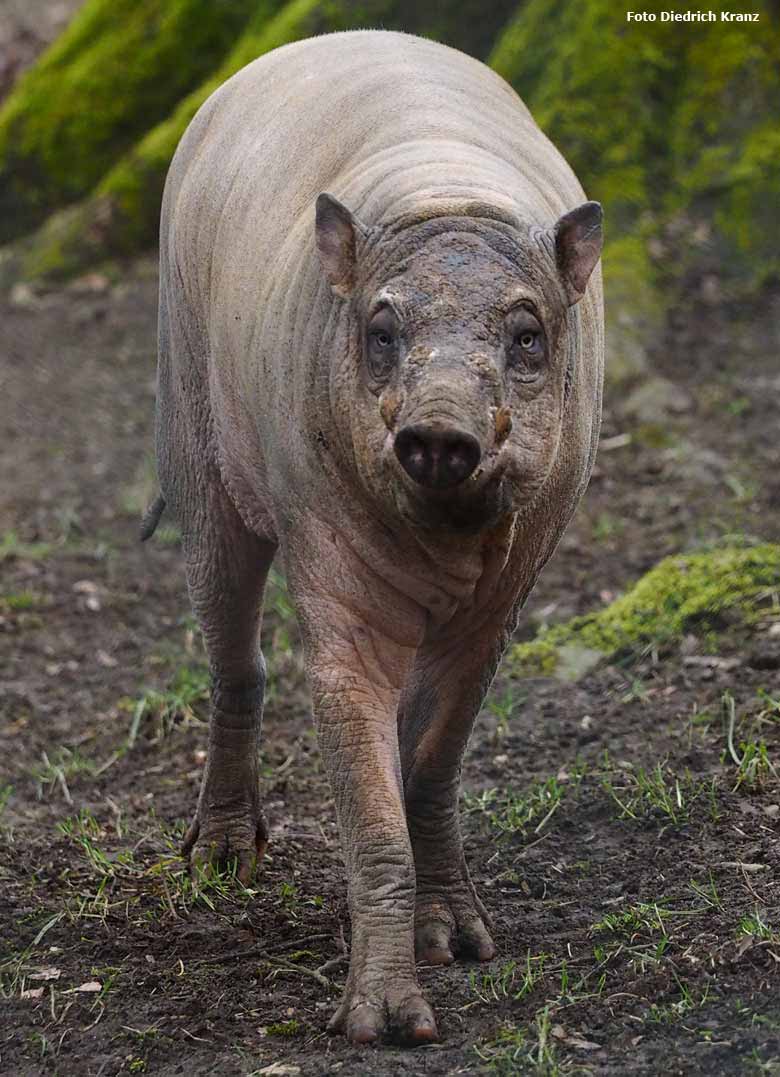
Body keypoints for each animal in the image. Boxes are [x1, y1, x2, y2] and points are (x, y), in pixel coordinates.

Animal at [144, 31, 603, 1042]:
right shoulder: (327, 555)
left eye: (526, 333)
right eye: (383, 330)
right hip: (195, 438)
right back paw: (220, 863)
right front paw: (392, 1026)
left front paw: (466, 948)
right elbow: (364, 784)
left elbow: (432, 759)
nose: (437, 429)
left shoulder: (511, 590)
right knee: (236, 652)